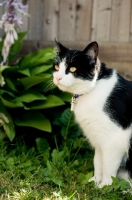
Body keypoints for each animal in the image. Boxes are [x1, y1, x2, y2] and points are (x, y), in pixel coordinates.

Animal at [52, 39, 132, 188]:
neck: (94, 88)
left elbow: (108, 166)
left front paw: (105, 186)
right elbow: (98, 162)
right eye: (56, 66)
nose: (58, 78)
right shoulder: (98, 137)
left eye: (73, 69)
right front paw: (94, 182)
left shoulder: (114, 140)